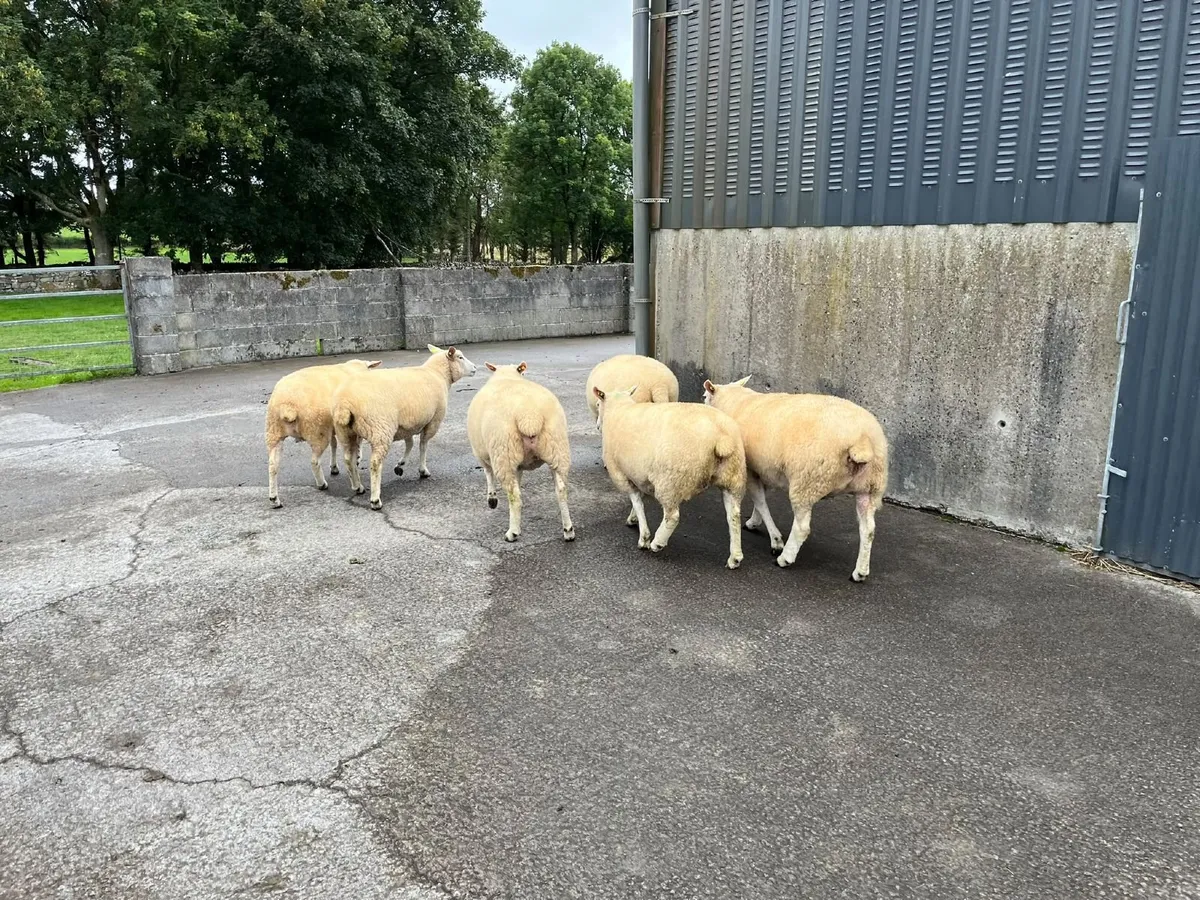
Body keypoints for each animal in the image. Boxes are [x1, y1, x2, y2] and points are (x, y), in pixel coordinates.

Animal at [265, 358, 381, 508]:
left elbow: (334, 444)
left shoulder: (331, 425)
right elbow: (354, 442)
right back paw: (322, 484)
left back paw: (274, 499)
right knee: (314, 461)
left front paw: (334, 467)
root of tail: (287, 405)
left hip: (273, 433)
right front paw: (357, 458)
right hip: (317, 431)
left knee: (273, 465)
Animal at [331, 344, 477, 510]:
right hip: (381, 429)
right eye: (460, 357)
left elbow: (410, 444)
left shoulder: (407, 424)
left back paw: (358, 487)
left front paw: (400, 465)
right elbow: (423, 445)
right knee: (375, 463)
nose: (475, 368)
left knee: (348, 459)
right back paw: (375, 499)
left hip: (346, 432)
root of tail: (345, 403)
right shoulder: (433, 421)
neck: (437, 374)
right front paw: (423, 470)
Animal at [467, 361, 575, 543]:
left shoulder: (481, 453)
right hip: (557, 449)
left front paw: (492, 499)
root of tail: (529, 416)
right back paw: (568, 530)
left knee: (514, 496)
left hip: (503, 453)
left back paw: (512, 532)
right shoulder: (517, 465)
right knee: (561, 490)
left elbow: (488, 473)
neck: (506, 376)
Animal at [593, 385, 746, 569]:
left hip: (671, 480)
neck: (619, 409)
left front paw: (644, 537)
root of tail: (722, 437)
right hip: (734, 477)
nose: (597, 427)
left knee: (672, 516)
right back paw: (735, 557)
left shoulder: (621, 474)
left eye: (598, 404)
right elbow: (639, 499)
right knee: (734, 515)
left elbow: (637, 501)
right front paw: (632, 518)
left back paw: (657, 543)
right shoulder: (640, 475)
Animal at [703, 376, 889, 582]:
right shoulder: (763, 469)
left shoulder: (750, 470)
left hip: (807, 481)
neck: (735, 402)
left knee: (802, 527)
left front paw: (775, 540)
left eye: (704, 396)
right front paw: (754, 521)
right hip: (870, 487)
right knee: (868, 530)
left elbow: (760, 501)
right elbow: (760, 500)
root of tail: (862, 440)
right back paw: (860, 572)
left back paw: (785, 558)